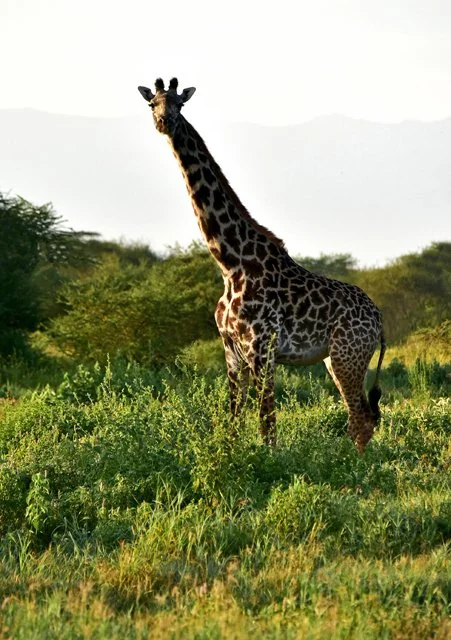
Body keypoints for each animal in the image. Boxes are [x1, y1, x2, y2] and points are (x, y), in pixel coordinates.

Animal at [138, 77, 386, 453]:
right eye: (153, 103)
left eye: (179, 103)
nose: (164, 122)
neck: (231, 264)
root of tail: (379, 319)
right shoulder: (230, 349)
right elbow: (234, 417)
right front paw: (230, 454)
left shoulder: (261, 348)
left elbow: (267, 425)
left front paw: (269, 460)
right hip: (336, 358)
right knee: (362, 416)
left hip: (349, 355)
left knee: (360, 419)